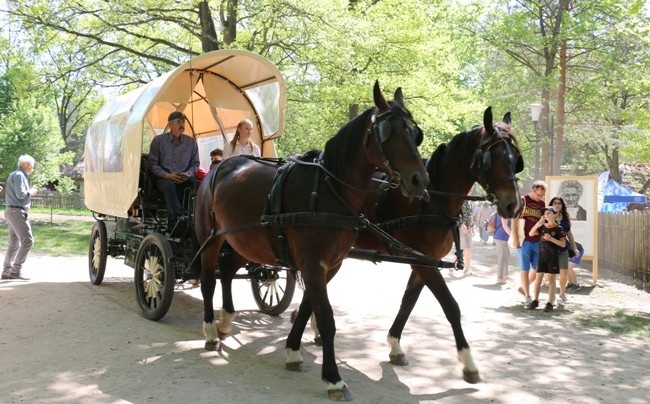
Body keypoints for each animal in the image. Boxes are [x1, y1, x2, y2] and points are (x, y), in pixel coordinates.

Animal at [194, 80, 426, 400]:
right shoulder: (313, 264)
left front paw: (293, 351)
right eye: (387, 133)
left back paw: (226, 320)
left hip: (242, 239)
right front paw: (333, 378)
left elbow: (306, 307)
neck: (329, 191)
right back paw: (209, 331)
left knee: (227, 272)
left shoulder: (329, 265)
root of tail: (219, 166)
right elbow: (326, 318)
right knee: (208, 280)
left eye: (415, 133)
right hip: (211, 238)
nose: (420, 181)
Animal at [294, 107, 520, 386]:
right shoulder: (424, 262)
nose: (514, 205)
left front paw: (395, 346)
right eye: (494, 157)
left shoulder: (424, 261)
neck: (432, 200)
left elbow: (408, 302)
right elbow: (450, 306)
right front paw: (468, 362)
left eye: (515, 158)